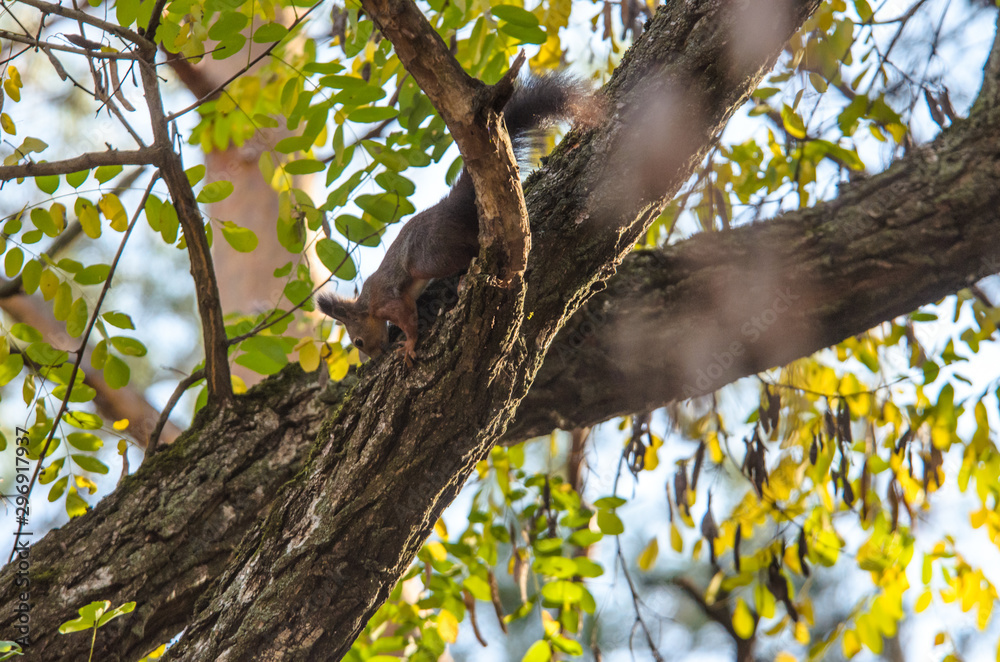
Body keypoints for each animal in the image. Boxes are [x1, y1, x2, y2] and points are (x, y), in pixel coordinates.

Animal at [319, 75, 589, 363]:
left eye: (357, 341)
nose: (373, 356)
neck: (368, 304)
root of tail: (450, 207)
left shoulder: (387, 302)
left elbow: (406, 315)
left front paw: (409, 345)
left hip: (431, 255)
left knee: (468, 253)